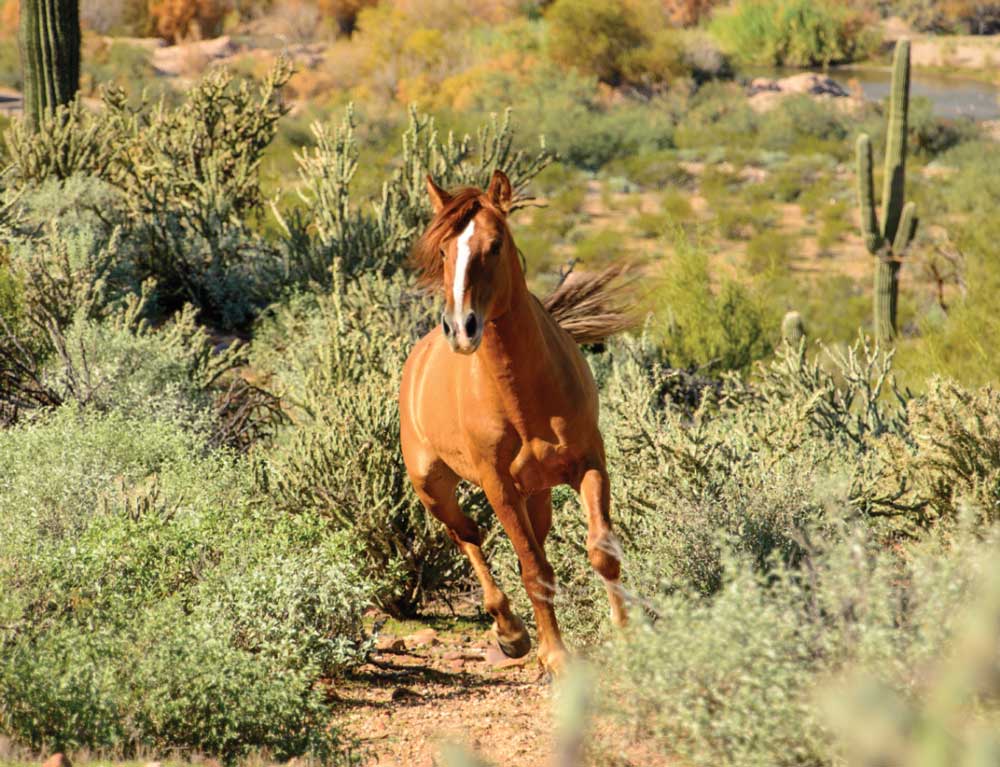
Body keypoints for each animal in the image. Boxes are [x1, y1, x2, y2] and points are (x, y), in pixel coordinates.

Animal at [402, 171, 628, 676]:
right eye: (443, 251)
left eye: (495, 244)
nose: (460, 329)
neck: (524, 397)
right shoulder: (498, 485)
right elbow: (533, 569)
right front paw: (556, 655)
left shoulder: (588, 462)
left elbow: (601, 552)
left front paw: (630, 634)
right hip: (433, 486)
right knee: (467, 533)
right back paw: (510, 632)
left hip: (537, 493)